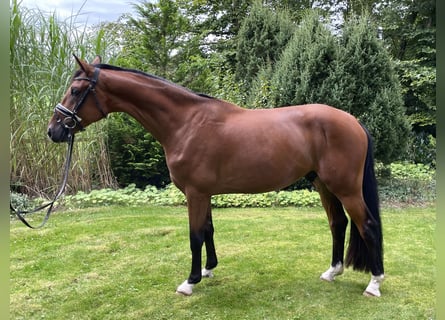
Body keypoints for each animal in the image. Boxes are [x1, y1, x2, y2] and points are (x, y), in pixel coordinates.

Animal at [46, 55, 384, 298]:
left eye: (75, 90)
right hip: (323, 184)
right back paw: (332, 272)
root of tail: (353, 121)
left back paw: (375, 283)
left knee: (367, 225)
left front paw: (190, 281)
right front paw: (209, 270)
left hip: (345, 188)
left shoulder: (195, 192)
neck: (186, 123)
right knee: (338, 223)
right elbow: (208, 229)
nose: (53, 131)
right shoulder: (203, 193)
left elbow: (195, 235)